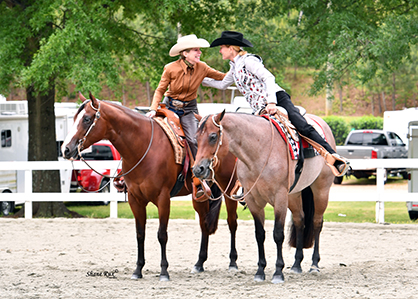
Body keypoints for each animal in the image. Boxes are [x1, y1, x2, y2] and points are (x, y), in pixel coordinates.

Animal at [60, 92, 240, 282]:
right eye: (75, 118)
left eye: (87, 119)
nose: (66, 149)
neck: (143, 147)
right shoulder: (135, 199)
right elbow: (140, 234)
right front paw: (138, 270)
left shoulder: (163, 198)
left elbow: (162, 235)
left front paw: (164, 272)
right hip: (198, 197)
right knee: (204, 223)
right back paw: (199, 263)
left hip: (228, 190)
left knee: (232, 222)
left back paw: (232, 263)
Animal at [194, 111, 334, 284]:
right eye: (196, 137)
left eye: (213, 136)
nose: (198, 169)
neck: (260, 152)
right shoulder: (254, 201)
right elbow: (260, 235)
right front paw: (260, 271)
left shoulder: (280, 199)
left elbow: (278, 234)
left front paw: (278, 272)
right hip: (294, 195)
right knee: (300, 221)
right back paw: (296, 264)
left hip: (321, 190)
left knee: (316, 223)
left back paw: (314, 265)